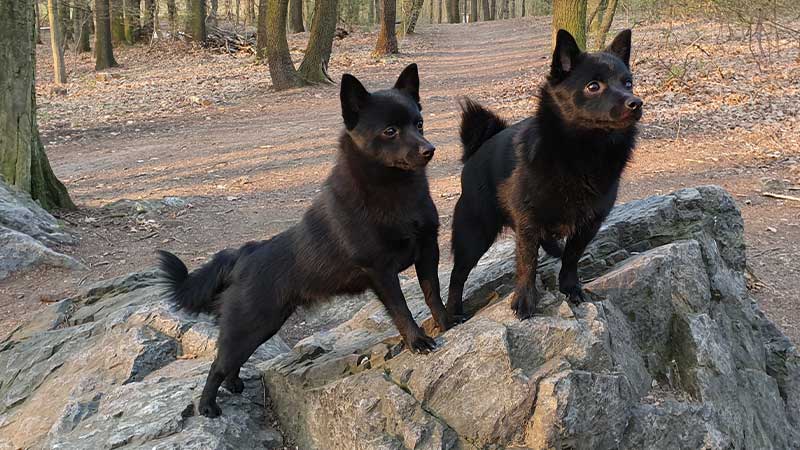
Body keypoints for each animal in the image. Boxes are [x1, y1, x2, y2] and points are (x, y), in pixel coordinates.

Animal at [159, 64, 454, 418]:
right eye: (390, 131)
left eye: (419, 123)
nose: (429, 149)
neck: (394, 193)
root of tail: (244, 253)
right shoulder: (381, 272)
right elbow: (401, 310)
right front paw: (417, 341)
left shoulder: (428, 250)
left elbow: (433, 294)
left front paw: (448, 322)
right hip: (251, 324)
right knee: (218, 364)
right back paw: (207, 406)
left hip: (264, 325)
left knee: (230, 362)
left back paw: (234, 385)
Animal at [450, 29, 644, 320]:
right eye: (593, 86)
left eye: (628, 83)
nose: (636, 103)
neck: (584, 152)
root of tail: (477, 149)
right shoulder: (528, 222)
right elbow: (527, 263)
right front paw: (525, 299)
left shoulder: (589, 222)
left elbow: (572, 258)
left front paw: (570, 287)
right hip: (474, 234)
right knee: (457, 275)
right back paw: (452, 314)